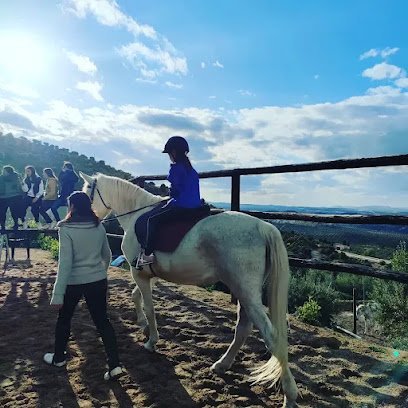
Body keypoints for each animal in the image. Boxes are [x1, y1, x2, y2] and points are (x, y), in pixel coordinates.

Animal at [79, 171, 298, 404]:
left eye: (87, 192)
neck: (137, 212)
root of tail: (264, 227)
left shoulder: (138, 273)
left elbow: (149, 307)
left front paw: (151, 341)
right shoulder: (147, 274)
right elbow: (135, 295)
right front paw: (142, 324)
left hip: (245, 291)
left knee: (271, 337)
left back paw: (289, 396)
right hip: (243, 292)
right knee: (243, 329)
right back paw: (221, 365)